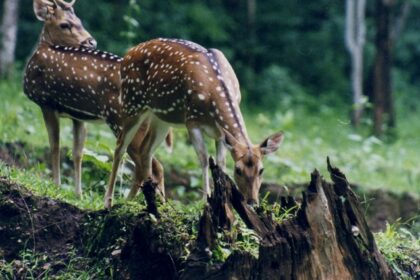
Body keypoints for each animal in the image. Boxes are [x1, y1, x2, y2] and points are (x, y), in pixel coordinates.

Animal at [24, 0, 168, 198]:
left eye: (79, 21)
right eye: (65, 24)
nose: (91, 42)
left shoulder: (47, 102)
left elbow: (55, 146)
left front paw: (56, 185)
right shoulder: (77, 115)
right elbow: (77, 152)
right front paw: (78, 193)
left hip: (122, 121)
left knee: (147, 166)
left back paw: (130, 201)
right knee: (154, 166)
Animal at [103, 37, 284, 208]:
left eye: (261, 170)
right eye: (238, 170)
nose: (252, 202)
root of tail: (127, 54)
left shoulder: (220, 134)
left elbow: (220, 164)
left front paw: (224, 202)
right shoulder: (192, 121)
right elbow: (204, 159)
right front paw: (205, 200)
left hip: (159, 117)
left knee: (145, 150)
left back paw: (151, 201)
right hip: (131, 104)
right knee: (120, 147)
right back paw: (109, 202)